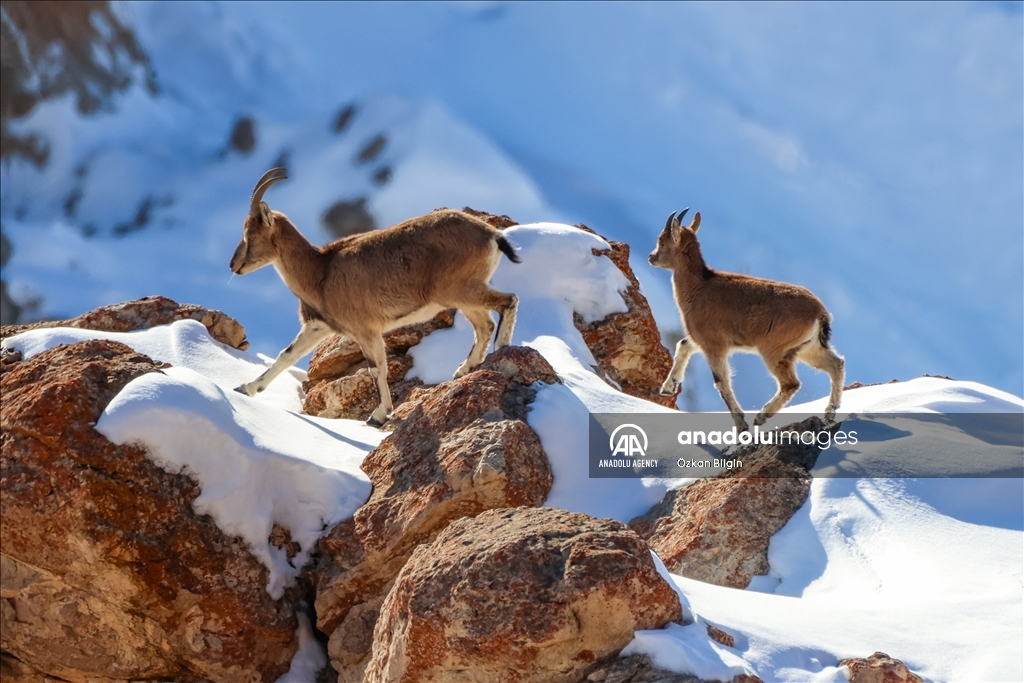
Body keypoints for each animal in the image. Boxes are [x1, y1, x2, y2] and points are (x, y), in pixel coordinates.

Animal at [232, 169, 520, 428]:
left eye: (249, 235)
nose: (233, 265)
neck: (320, 272)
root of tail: (492, 235)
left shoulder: (366, 330)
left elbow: (376, 368)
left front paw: (379, 415)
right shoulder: (318, 327)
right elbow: (286, 355)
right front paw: (245, 388)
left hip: (462, 290)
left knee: (508, 302)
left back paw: (501, 351)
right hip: (463, 297)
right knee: (484, 325)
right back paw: (463, 369)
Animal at [651, 209, 843, 432]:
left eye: (662, 241)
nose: (651, 257)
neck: (699, 287)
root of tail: (820, 313)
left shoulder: (714, 345)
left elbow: (721, 382)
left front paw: (741, 424)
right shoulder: (702, 339)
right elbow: (683, 345)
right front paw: (668, 388)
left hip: (774, 350)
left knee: (791, 383)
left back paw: (761, 416)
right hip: (808, 348)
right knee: (836, 364)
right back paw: (829, 414)